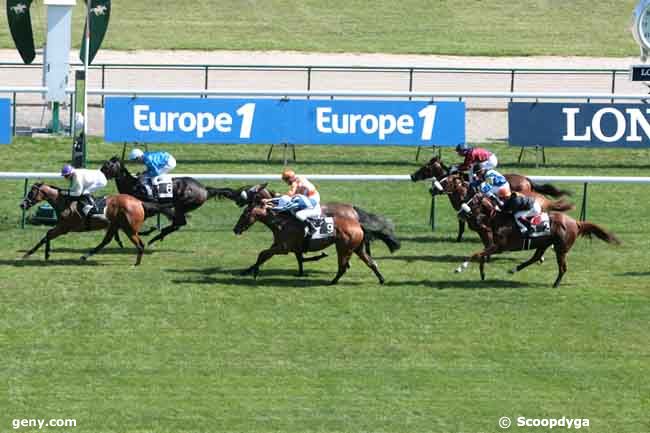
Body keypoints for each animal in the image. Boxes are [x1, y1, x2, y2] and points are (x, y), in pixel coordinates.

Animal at [19, 181, 163, 264]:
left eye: (32, 192)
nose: (22, 204)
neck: (64, 202)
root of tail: (139, 202)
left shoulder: (64, 228)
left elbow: (48, 234)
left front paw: (41, 254)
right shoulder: (61, 227)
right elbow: (46, 235)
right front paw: (34, 254)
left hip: (129, 229)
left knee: (140, 245)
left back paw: (136, 264)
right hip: (115, 225)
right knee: (106, 241)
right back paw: (85, 256)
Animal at [100, 156, 232, 245]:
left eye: (108, 165)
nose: (99, 174)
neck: (132, 185)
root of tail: (205, 190)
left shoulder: (149, 207)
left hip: (181, 205)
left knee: (180, 222)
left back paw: (158, 236)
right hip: (181, 207)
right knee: (177, 223)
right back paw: (159, 235)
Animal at [230, 185, 398, 284]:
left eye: (245, 214)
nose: (235, 229)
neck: (281, 221)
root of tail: (357, 223)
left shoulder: (283, 248)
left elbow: (263, 253)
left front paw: (253, 272)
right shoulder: (283, 246)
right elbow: (268, 255)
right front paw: (249, 271)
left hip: (344, 248)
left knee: (343, 266)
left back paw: (333, 281)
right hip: (357, 248)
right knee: (371, 262)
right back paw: (381, 279)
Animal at [408, 156, 568, 243]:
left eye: (425, 167)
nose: (412, 176)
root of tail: (527, 179)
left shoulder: (464, 207)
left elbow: (462, 224)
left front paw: (458, 239)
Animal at [454, 191, 620, 286]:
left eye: (472, 202)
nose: (459, 213)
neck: (497, 218)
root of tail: (576, 223)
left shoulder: (499, 247)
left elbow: (476, 254)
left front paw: (460, 268)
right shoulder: (494, 246)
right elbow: (481, 255)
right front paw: (482, 275)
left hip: (560, 249)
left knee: (562, 267)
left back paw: (555, 284)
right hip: (543, 244)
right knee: (535, 258)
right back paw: (514, 269)